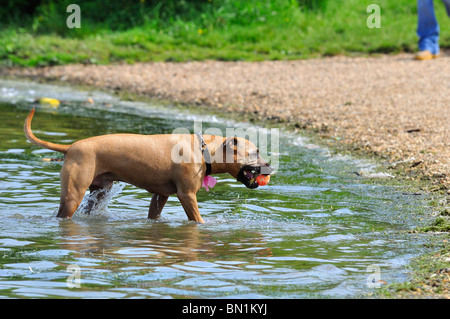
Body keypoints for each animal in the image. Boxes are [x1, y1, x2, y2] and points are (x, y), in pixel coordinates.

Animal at [24, 109, 272, 224]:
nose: (269, 165)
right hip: (73, 194)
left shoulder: (160, 195)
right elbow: (197, 218)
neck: (204, 150)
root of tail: (70, 147)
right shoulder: (187, 195)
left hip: (98, 192)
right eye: (255, 153)